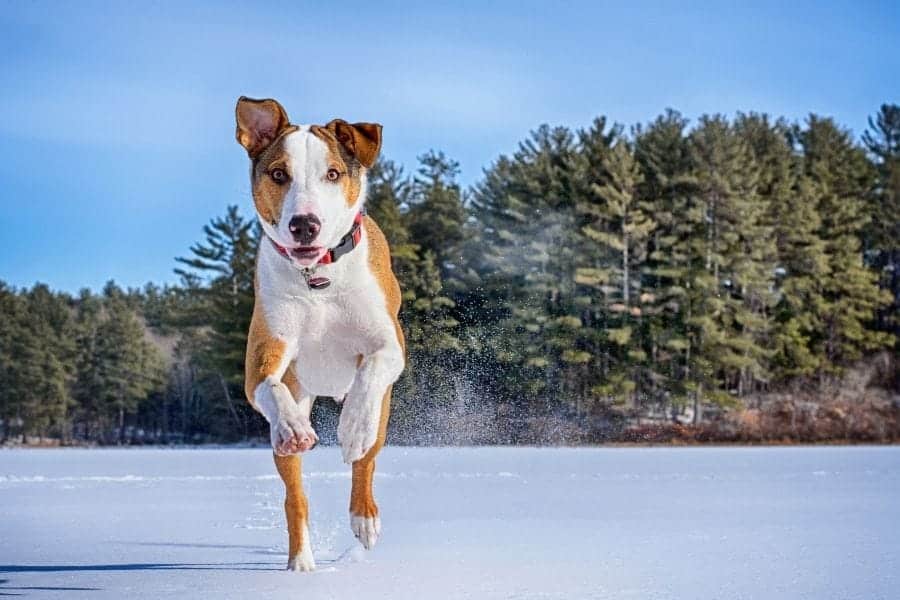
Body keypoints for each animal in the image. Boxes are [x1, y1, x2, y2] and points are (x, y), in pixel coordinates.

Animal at [239, 96, 408, 568]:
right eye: (279, 174)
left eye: (332, 174)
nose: (304, 224)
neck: (318, 278)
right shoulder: (263, 354)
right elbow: (268, 385)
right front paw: (293, 425)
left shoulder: (390, 342)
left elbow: (373, 369)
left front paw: (351, 428)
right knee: (295, 498)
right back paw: (301, 562)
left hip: (385, 411)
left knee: (366, 461)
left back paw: (364, 517)